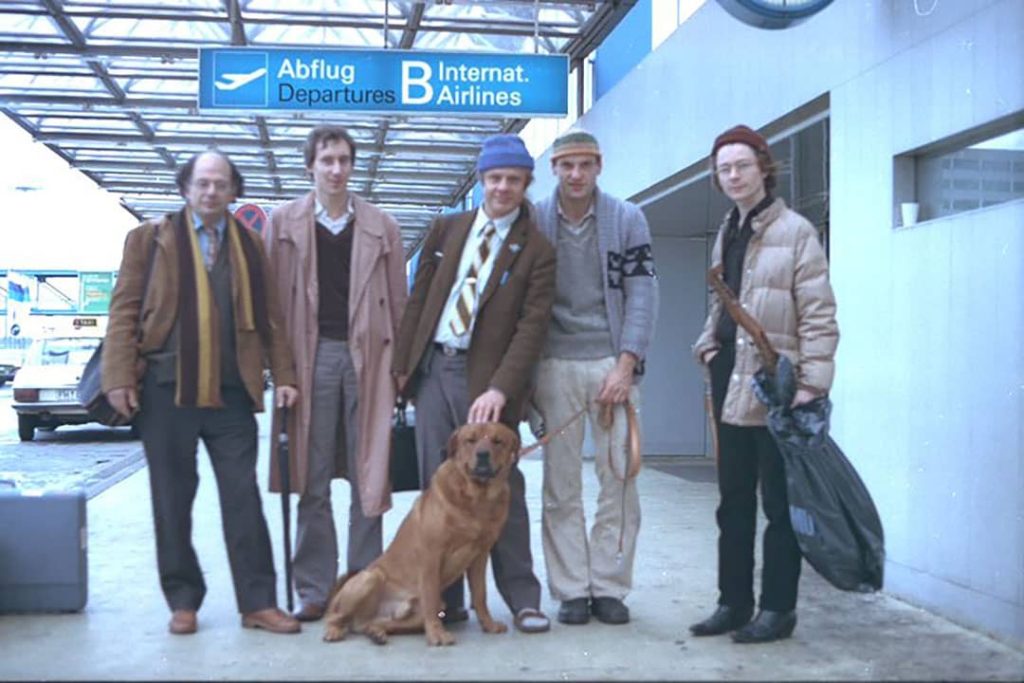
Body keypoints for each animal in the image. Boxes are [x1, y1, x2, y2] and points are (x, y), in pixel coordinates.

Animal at [321, 419, 520, 651]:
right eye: (470, 440)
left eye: (498, 441)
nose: (482, 454)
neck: (478, 498)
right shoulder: (432, 556)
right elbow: (431, 597)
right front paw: (437, 634)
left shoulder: (480, 556)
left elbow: (480, 594)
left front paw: (488, 624)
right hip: (369, 578)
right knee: (336, 616)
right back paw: (334, 630)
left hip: (408, 612)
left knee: (377, 623)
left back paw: (376, 632)